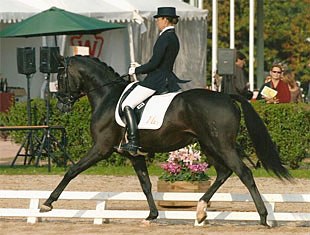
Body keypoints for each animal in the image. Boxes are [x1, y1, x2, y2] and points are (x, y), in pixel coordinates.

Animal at [40, 55, 290, 226]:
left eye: (60, 77)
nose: (61, 105)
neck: (107, 97)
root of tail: (226, 95)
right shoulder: (134, 154)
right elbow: (146, 185)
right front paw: (151, 215)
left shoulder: (101, 148)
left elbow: (71, 171)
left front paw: (47, 204)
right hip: (209, 145)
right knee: (224, 173)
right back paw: (201, 211)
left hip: (221, 144)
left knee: (243, 173)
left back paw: (263, 218)